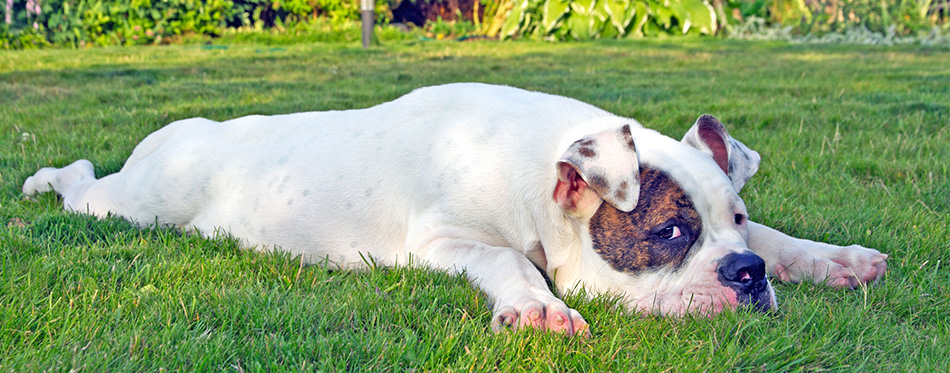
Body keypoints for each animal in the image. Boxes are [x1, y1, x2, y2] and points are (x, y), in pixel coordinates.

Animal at [22, 83, 888, 336]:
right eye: (668, 232)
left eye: (733, 221)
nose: (745, 275)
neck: (538, 168)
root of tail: (178, 134)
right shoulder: (445, 240)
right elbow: (507, 261)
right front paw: (540, 308)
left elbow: (785, 235)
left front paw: (833, 259)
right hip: (131, 205)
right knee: (81, 182)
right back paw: (38, 181)